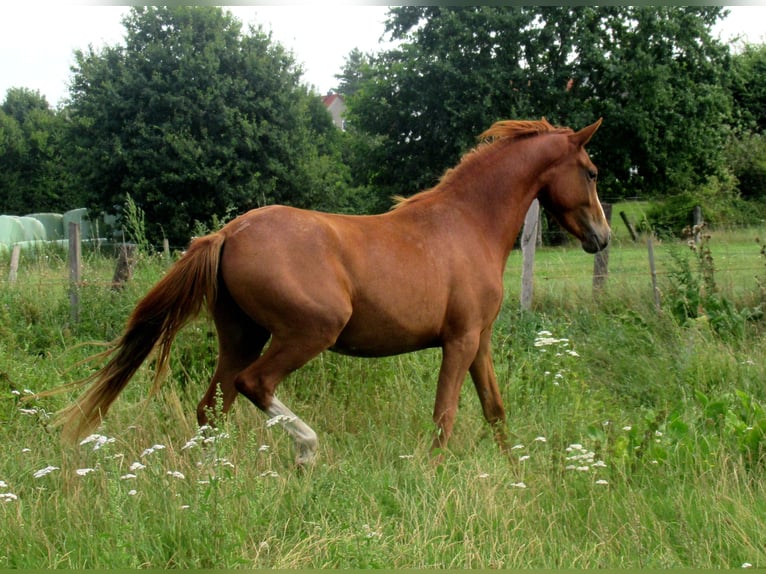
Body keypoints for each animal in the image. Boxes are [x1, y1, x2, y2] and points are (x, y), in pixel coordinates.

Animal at [55, 119, 612, 466]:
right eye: (590, 172)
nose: (602, 237)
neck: (467, 223)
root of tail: (228, 233)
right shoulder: (459, 341)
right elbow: (445, 418)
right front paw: (431, 476)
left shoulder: (480, 340)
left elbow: (494, 409)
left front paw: (516, 474)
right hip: (308, 332)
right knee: (253, 386)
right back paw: (307, 451)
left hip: (240, 337)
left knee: (212, 407)